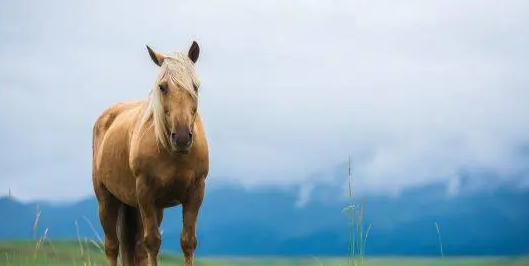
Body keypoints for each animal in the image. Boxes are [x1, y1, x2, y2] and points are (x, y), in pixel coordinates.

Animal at [91, 41, 208, 266]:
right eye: (162, 87)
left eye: (195, 86)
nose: (182, 138)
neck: (173, 154)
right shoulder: (145, 192)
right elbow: (152, 242)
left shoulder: (196, 192)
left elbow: (188, 242)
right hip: (107, 200)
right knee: (112, 246)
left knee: (136, 249)